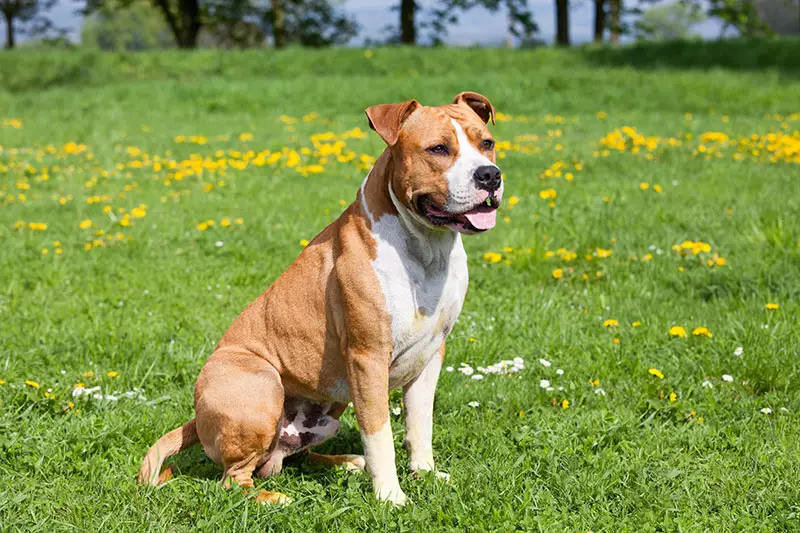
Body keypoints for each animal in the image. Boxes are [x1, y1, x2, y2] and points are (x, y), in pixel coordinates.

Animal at [137, 90, 500, 502]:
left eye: (487, 143)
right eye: (438, 149)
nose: (490, 175)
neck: (426, 247)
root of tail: (197, 420)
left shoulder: (430, 355)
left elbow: (419, 425)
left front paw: (423, 474)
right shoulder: (367, 358)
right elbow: (379, 435)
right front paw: (390, 497)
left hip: (326, 415)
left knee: (286, 460)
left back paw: (347, 463)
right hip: (261, 384)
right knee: (234, 479)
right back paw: (275, 499)